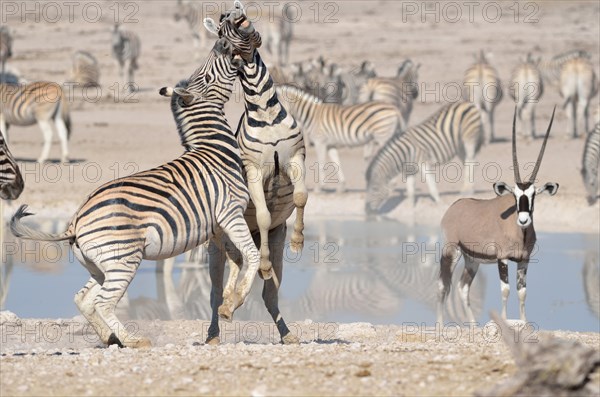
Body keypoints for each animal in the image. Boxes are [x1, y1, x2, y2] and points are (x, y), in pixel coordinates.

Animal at [9, 37, 262, 346]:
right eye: (205, 76)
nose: (223, 43)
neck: (214, 149)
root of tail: (75, 221)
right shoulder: (230, 212)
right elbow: (252, 254)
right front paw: (236, 300)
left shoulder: (218, 224)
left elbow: (235, 259)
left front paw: (229, 301)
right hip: (123, 261)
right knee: (102, 302)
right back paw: (132, 340)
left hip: (100, 265)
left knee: (83, 299)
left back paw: (110, 338)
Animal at [205, 0, 308, 344]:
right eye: (221, 25)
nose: (234, 9)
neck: (264, 108)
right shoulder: (252, 171)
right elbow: (262, 216)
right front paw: (261, 266)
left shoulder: (295, 159)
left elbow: (301, 197)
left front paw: (299, 240)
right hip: (216, 244)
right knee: (215, 291)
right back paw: (214, 330)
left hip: (264, 242)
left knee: (265, 292)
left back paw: (284, 333)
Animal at [276, 83, 404, 192]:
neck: (311, 115)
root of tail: (394, 108)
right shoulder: (330, 145)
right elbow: (336, 163)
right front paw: (342, 187)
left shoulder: (320, 142)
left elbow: (321, 163)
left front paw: (320, 188)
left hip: (383, 136)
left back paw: (391, 185)